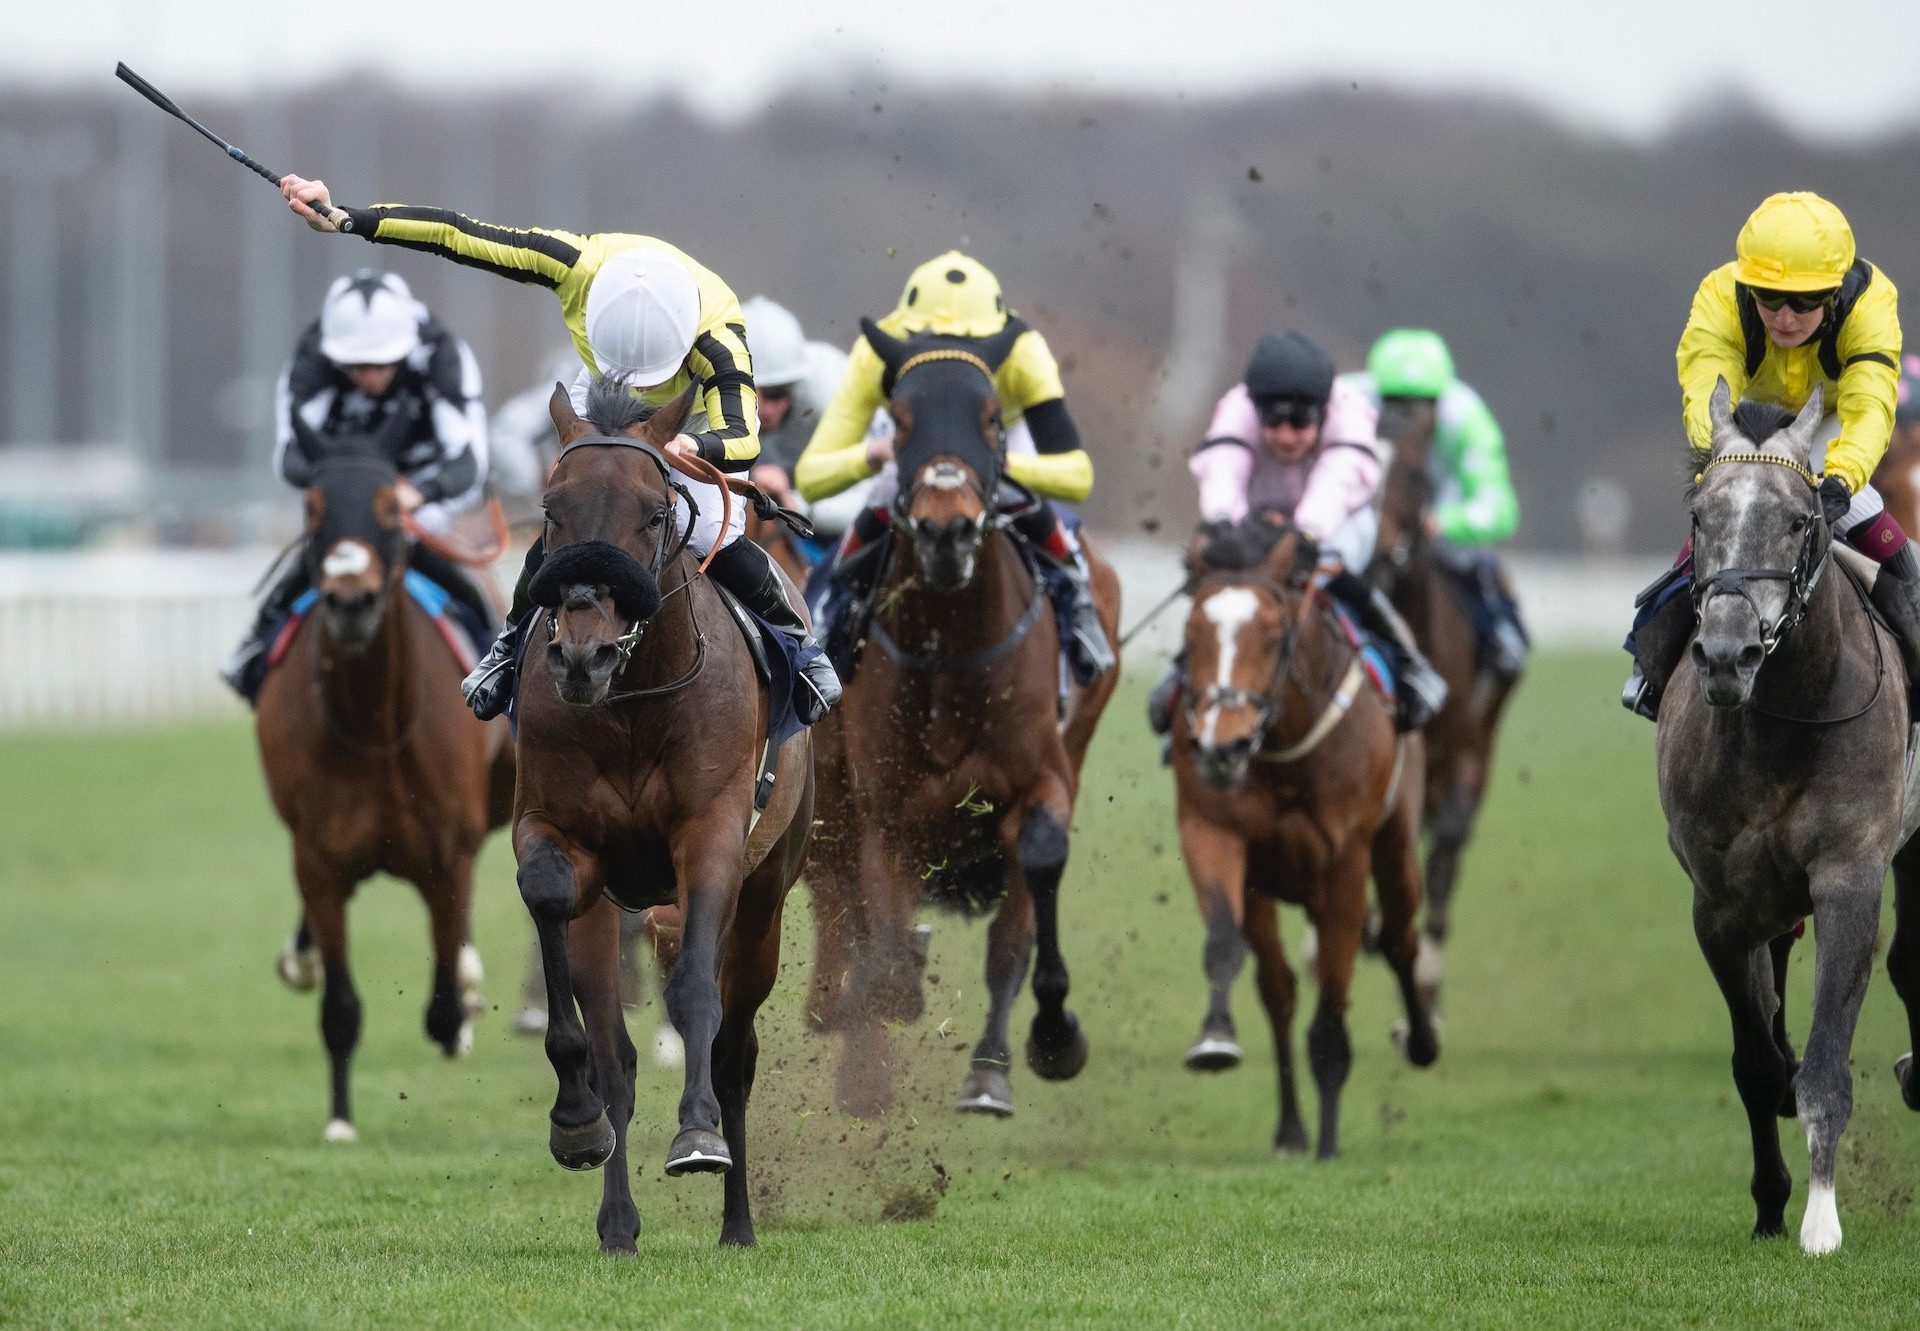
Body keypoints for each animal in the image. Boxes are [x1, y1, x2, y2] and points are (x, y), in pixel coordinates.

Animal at [255, 414, 514, 1144]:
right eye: (314, 508)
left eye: (392, 506)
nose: (351, 601)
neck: (370, 725)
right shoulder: (317, 859)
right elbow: (340, 1005)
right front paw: (341, 1121)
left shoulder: (448, 855)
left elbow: (442, 1007)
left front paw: (463, 1004)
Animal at [510, 374, 810, 1244]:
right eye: (552, 509)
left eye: (653, 511)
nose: (582, 654)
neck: (633, 704)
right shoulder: (559, 834)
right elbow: (550, 903)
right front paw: (574, 1120)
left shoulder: (711, 837)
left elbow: (696, 994)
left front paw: (698, 1135)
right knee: (619, 1056)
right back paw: (617, 1221)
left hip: (768, 894)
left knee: (737, 1048)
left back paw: (738, 1221)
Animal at [798, 324, 1121, 1121]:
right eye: (900, 419)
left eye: (992, 420)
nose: (947, 531)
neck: (952, 653)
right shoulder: (885, 809)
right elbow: (880, 944)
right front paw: (883, 1006)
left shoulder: (1040, 781)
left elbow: (1025, 901)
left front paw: (1036, 1047)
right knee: (845, 899)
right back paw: (863, 1064)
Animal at [1159, 518, 1436, 1152]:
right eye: (1192, 631)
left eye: (1272, 633)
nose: (1221, 744)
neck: (1284, 746)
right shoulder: (1217, 834)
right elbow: (1233, 951)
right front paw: (1217, 1041)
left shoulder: (1345, 864)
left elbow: (1332, 1003)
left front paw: (1329, 1143)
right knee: (1281, 990)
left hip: (1395, 848)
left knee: (1400, 938)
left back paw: (1421, 1040)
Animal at [1651, 378, 1920, 1252]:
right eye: (1701, 516)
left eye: (1800, 519)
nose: (1726, 653)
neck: (1787, 717)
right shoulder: (1721, 903)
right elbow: (1757, 1059)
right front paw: (1775, 1194)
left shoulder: (1850, 876)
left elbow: (1828, 1065)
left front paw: (1823, 1220)